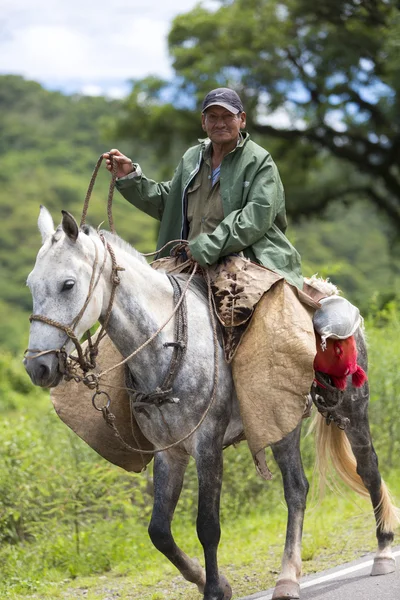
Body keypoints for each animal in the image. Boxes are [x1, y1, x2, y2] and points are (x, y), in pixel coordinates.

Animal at [24, 206, 396, 600]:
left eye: (68, 284)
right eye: (31, 284)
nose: (37, 367)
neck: (167, 345)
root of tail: (327, 292)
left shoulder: (207, 444)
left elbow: (207, 525)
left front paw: (216, 588)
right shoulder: (169, 450)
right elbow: (159, 531)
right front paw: (204, 579)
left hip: (351, 408)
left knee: (367, 467)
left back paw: (380, 551)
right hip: (281, 421)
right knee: (297, 488)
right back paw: (288, 576)